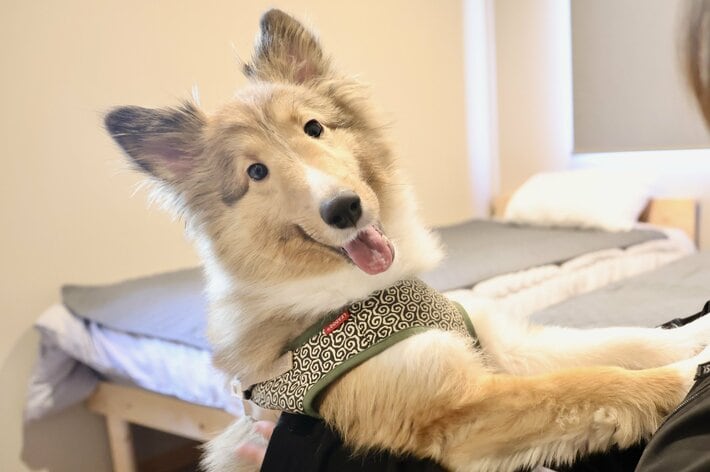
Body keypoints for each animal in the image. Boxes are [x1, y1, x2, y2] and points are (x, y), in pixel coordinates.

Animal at [105, 9, 710, 472]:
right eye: (255, 172)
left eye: (314, 127)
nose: (344, 208)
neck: (360, 292)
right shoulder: (449, 409)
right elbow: (590, 384)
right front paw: (686, 378)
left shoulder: (500, 344)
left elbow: (621, 342)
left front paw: (696, 335)